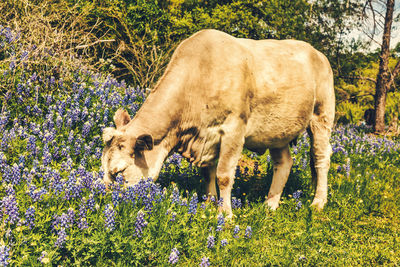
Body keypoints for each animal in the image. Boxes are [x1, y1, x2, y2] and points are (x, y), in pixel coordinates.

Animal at [100, 29, 334, 218]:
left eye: (119, 172)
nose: (104, 201)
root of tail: (318, 53)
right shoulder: (207, 136)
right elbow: (207, 173)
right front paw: (210, 204)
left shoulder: (233, 129)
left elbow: (223, 175)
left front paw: (226, 215)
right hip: (277, 130)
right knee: (284, 163)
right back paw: (270, 204)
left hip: (322, 116)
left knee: (321, 157)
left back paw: (318, 202)